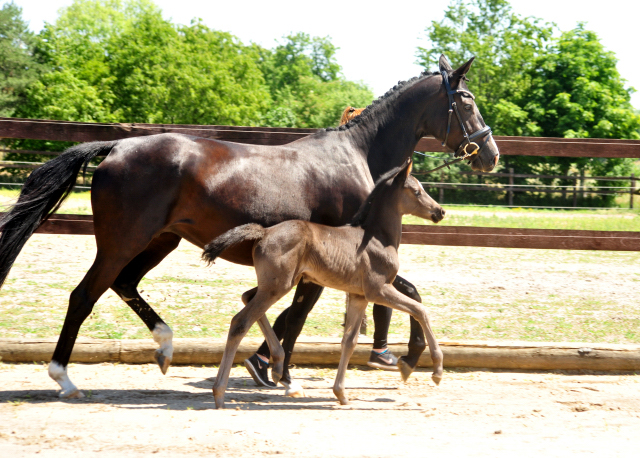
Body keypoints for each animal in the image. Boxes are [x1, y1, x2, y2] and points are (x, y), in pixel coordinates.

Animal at [205, 158, 444, 408]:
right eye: (416, 191)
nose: (440, 211)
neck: (377, 238)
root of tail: (264, 232)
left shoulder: (359, 296)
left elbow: (349, 341)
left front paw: (341, 393)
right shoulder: (378, 290)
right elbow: (420, 310)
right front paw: (436, 370)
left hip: (278, 284)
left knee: (248, 299)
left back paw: (278, 366)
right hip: (278, 286)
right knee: (240, 322)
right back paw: (220, 393)